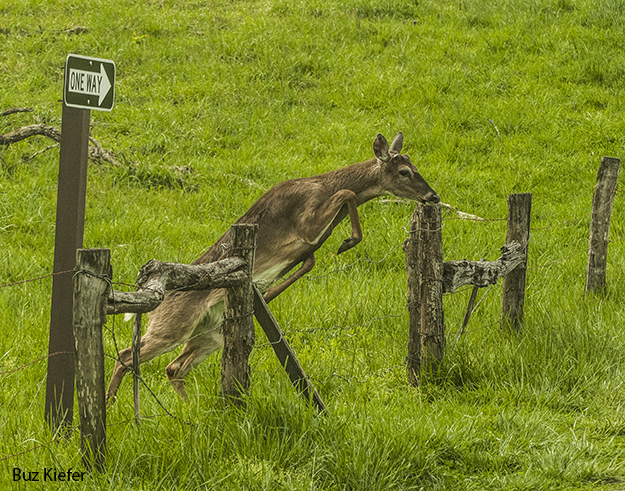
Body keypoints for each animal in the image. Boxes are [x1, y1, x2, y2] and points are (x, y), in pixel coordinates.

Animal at [106, 132, 438, 404]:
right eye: (405, 172)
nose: (433, 195)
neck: (324, 184)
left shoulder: (308, 243)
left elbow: (310, 259)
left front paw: (267, 292)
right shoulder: (306, 221)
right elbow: (349, 195)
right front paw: (347, 242)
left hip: (207, 334)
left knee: (174, 367)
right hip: (174, 323)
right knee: (126, 356)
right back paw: (109, 406)